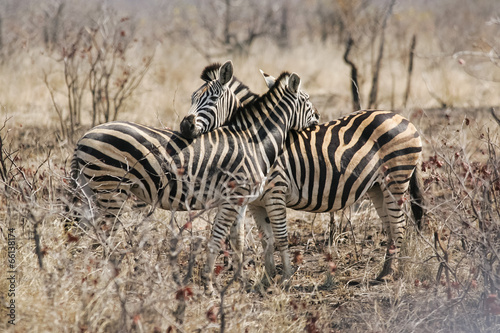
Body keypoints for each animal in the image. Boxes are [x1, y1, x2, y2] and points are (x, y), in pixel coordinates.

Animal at [70, 61, 320, 292]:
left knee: (81, 235)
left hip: (90, 192)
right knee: (104, 237)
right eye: (307, 100)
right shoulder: (236, 197)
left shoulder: (241, 200)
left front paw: (238, 283)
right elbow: (218, 238)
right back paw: (110, 282)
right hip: (110, 191)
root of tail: (84, 136)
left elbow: (237, 241)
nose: (318, 117)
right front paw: (209, 284)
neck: (253, 141)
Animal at [178, 67, 424, 282]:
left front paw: (283, 277)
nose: (184, 127)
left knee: (399, 223)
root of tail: (402, 117)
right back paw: (386, 271)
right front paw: (266, 280)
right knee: (390, 225)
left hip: (396, 178)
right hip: (376, 186)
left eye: (212, 98)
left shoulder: (275, 191)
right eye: (191, 97)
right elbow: (264, 240)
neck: (254, 141)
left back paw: (392, 273)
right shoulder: (256, 201)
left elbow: (278, 236)